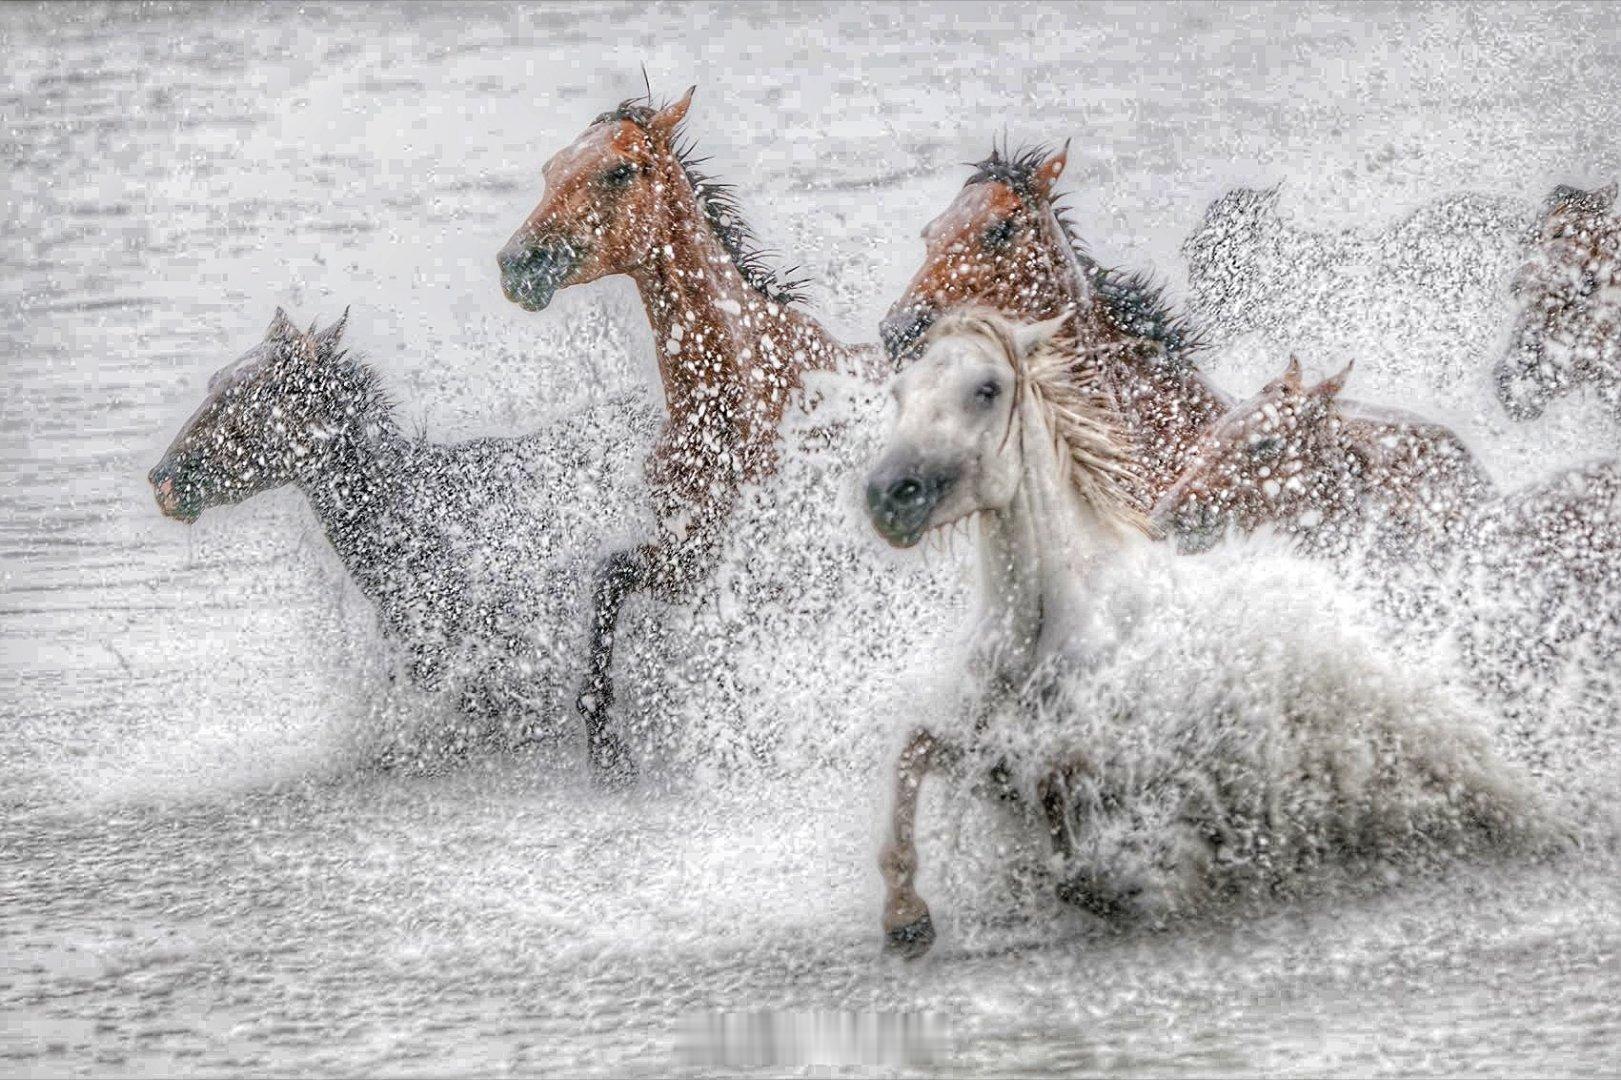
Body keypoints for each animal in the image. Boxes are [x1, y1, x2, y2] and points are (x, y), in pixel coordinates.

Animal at [497, 85, 883, 781]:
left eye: (619, 171)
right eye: (549, 170)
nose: (518, 266)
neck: (736, 400)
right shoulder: (688, 558)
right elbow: (611, 577)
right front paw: (605, 742)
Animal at [863, 309, 1547, 958]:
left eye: (987, 388)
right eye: (899, 391)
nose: (889, 495)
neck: (1045, 626)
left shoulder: (1117, 757)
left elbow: (1069, 825)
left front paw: (1145, 886)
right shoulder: (986, 747)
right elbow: (914, 757)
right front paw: (904, 917)